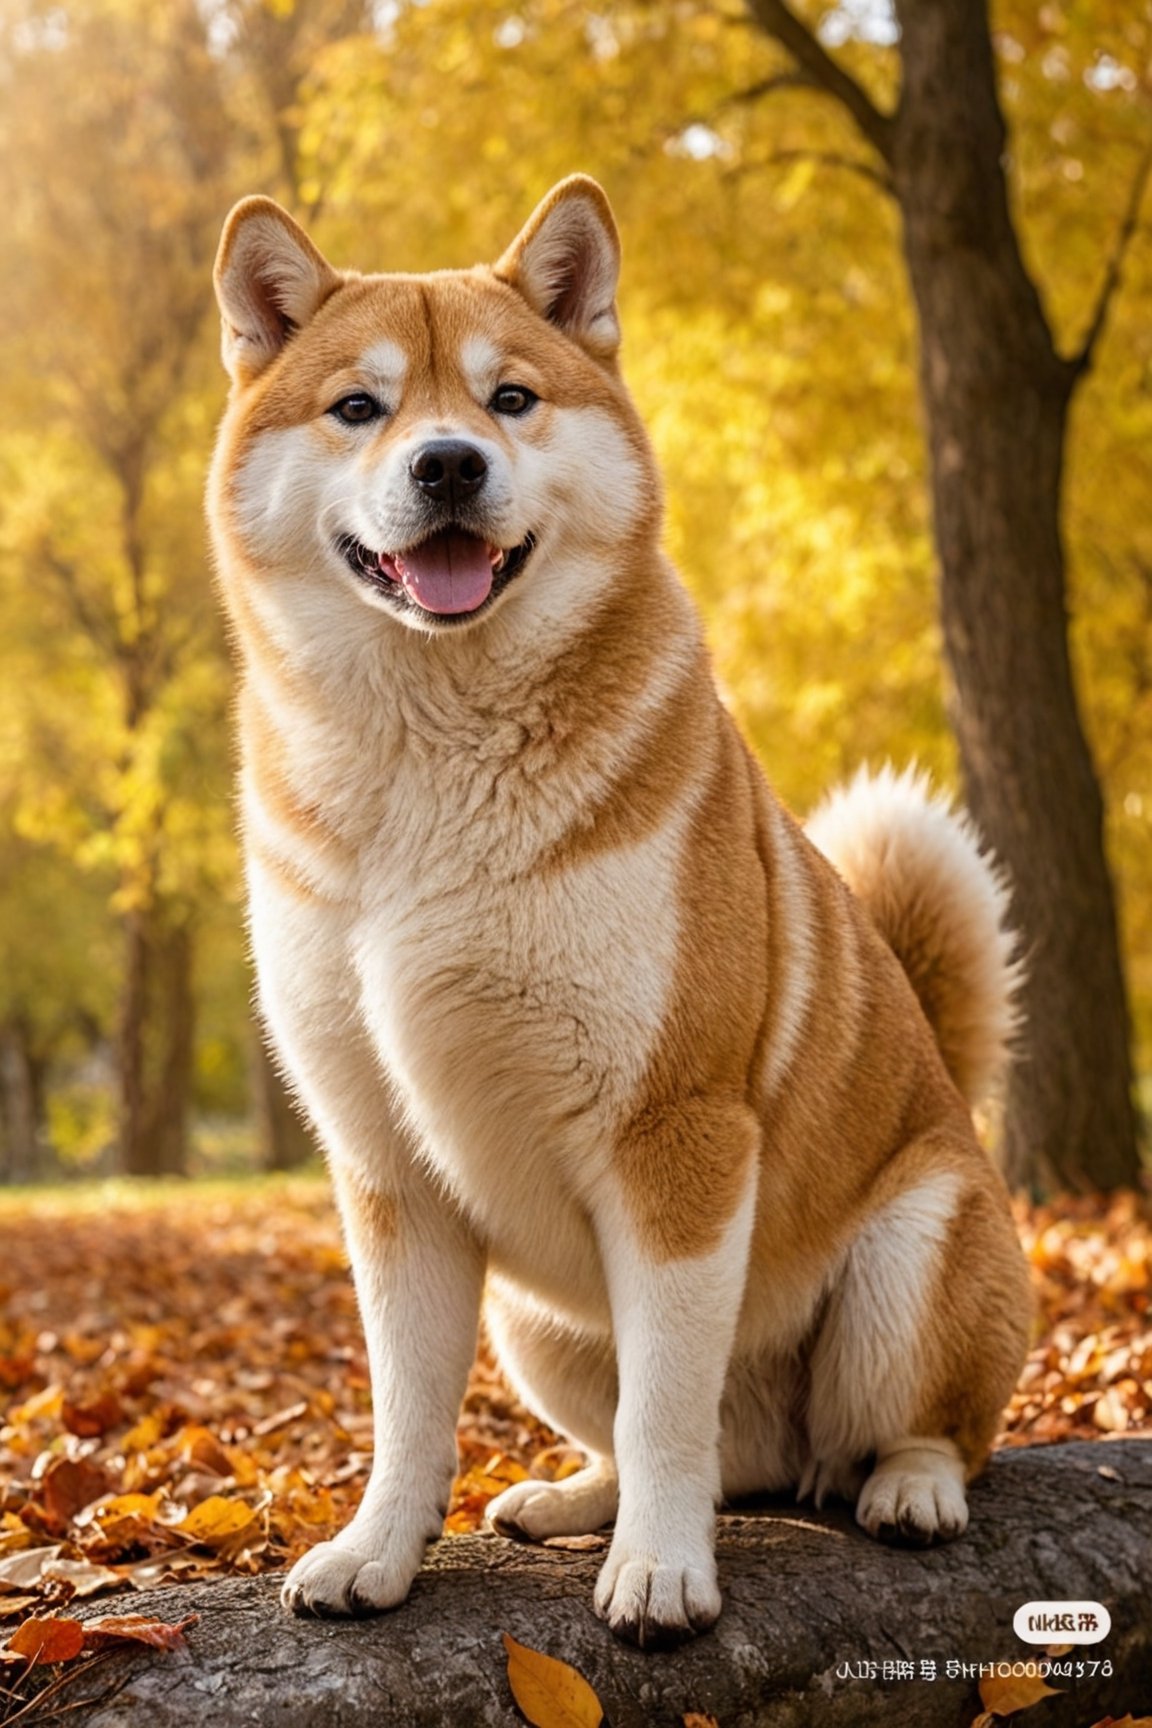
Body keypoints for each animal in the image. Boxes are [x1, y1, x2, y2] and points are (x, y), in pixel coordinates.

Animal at [209, 171, 1036, 1645]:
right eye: (360, 407)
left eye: (511, 398)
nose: (448, 465)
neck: (429, 773)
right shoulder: (388, 1169)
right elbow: (408, 1409)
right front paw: (377, 1551)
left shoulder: (677, 1137)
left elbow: (667, 1409)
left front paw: (660, 1572)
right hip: (539, 1327)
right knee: (729, 1454)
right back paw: (566, 1498)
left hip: (911, 1255)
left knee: (900, 1432)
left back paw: (909, 1489)